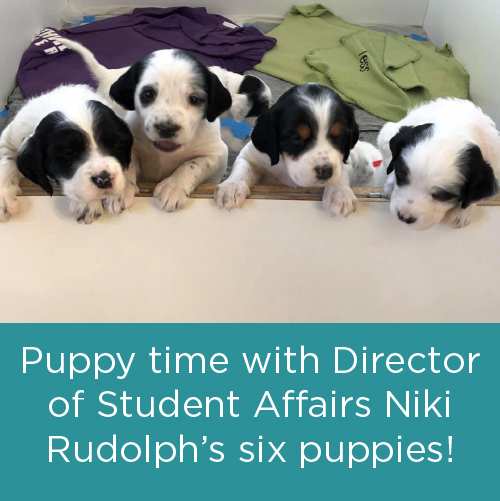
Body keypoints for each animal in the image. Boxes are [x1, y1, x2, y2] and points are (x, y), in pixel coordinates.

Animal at [0, 85, 134, 224]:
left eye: (115, 143)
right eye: (68, 152)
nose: (104, 179)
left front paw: (119, 194)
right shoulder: (12, 134)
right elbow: (6, 156)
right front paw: (3, 198)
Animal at [61, 38, 233, 211]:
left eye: (194, 99)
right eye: (148, 94)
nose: (166, 128)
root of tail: (108, 73)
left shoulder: (216, 154)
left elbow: (192, 165)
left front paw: (173, 187)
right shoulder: (129, 144)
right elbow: (126, 164)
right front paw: (120, 190)